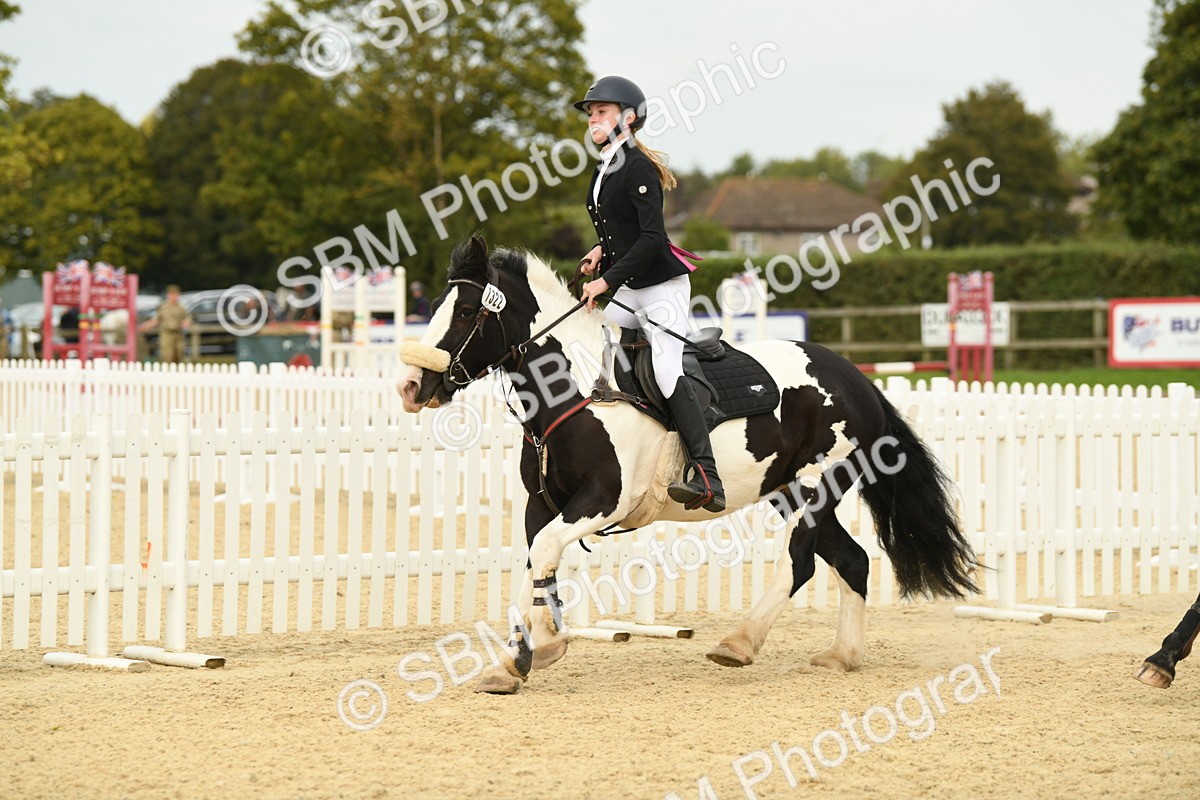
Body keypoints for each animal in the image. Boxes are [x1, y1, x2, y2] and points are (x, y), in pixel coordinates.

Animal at [396, 235, 978, 695]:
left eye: (466, 313)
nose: (410, 386)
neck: (576, 391)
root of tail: (857, 378)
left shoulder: (601, 502)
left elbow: (543, 554)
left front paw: (531, 650)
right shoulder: (543, 505)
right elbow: (537, 560)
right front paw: (524, 654)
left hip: (820, 484)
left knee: (800, 562)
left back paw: (739, 643)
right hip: (790, 489)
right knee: (852, 560)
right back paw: (842, 656)